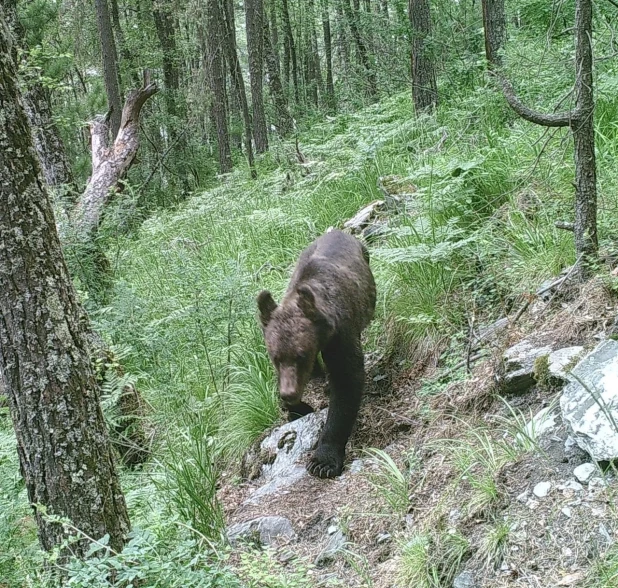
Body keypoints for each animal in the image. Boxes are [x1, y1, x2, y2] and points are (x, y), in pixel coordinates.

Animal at [256, 229, 376, 478]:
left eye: (301, 354)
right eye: (275, 357)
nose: (289, 393)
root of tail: (338, 231)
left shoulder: (340, 334)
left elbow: (346, 380)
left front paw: (323, 461)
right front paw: (297, 408)